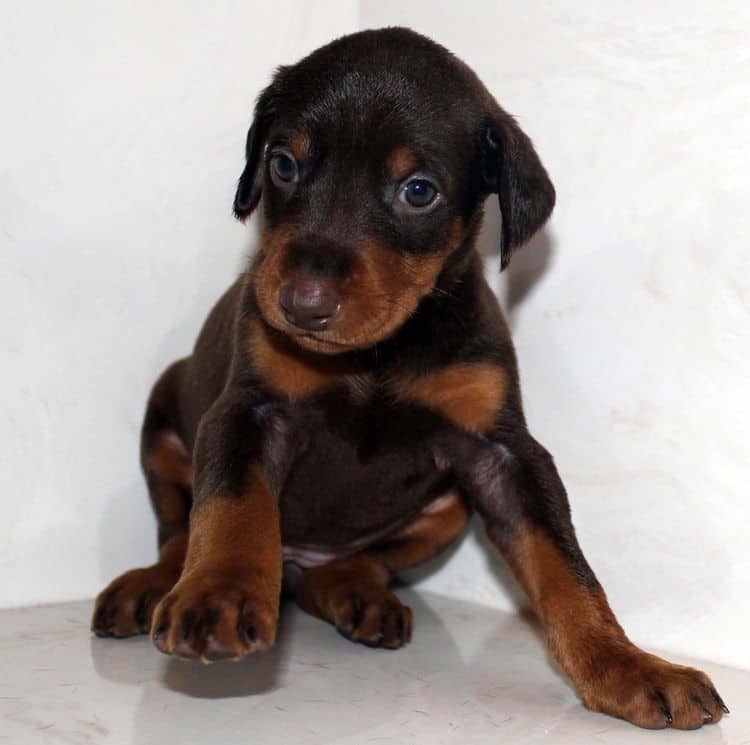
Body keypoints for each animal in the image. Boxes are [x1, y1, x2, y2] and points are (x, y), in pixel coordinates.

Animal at [91, 27, 732, 728]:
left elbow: (566, 567)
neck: (378, 354)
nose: (301, 303)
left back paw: (354, 591)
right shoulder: (248, 413)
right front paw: (219, 595)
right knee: (179, 531)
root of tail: (295, 562)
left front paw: (629, 666)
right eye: (283, 164)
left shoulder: (504, 454)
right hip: (162, 420)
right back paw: (153, 586)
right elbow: (234, 509)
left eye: (419, 191)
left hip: (447, 512)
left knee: (351, 564)